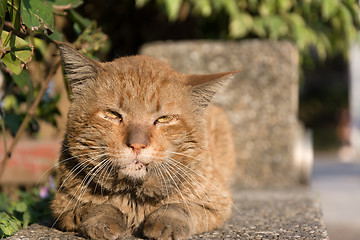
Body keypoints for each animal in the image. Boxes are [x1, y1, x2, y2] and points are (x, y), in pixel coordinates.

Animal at [50, 43, 236, 240]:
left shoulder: (218, 203)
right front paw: (103, 220)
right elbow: (95, 206)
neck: (134, 199)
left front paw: (166, 222)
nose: (137, 145)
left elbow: (179, 207)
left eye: (164, 119)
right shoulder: (62, 206)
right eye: (112, 114)